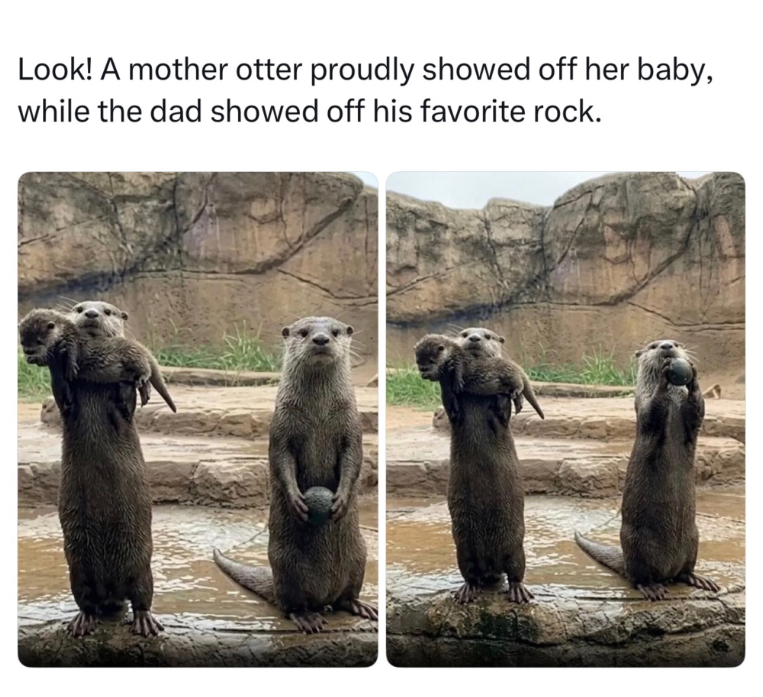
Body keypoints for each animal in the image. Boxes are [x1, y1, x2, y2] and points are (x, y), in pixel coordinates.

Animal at [214, 317, 377, 633]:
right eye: (303, 332)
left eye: (335, 331)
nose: (321, 339)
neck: (319, 415)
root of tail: (323, 596)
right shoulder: (281, 426)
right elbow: (281, 460)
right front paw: (296, 500)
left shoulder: (351, 424)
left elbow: (354, 459)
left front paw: (341, 499)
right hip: (285, 565)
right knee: (290, 604)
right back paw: (307, 617)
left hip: (360, 554)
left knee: (346, 595)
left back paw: (359, 606)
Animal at [428, 329, 533, 604]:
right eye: (465, 333)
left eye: (487, 335)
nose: (474, 337)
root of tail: (490, 567)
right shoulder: (454, 412)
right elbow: (451, 405)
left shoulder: (500, 417)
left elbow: (502, 411)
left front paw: (505, 392)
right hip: (463, 548)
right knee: (469, 572)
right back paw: (468, 590)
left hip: (515, 545)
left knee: (516, 569)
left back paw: (518, 591)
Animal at [575, 339, 720, 601]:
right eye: (653, 346)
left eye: (676, 343)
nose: (667, 346)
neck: (674, 401)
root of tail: (668, 570)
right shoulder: (642, 404)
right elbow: (652, 411)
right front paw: (663, 377)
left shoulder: (692, 418)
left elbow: (697, 410)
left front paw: (693, 377)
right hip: (636, 544)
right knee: (637, 577)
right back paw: (651, 587)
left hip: (694, 537)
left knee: (685, 570)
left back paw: (698, 578)